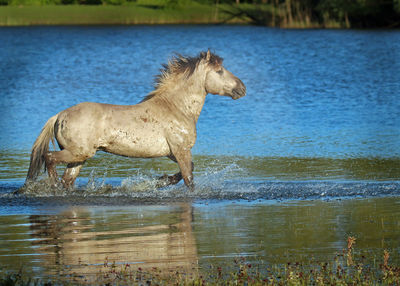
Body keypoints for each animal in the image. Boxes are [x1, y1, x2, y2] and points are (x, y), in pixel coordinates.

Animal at [26, 50, 245, 191]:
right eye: (219, 71)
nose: (242, 88)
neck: (177, 108)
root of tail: (59, 115)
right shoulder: (181, 150)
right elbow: (189, 178)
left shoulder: (172, 152)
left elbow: (187, 171)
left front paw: (161, 181)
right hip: (78, 152)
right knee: (49, 158)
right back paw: (53, 185)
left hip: (79, 157)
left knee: (68, 180)